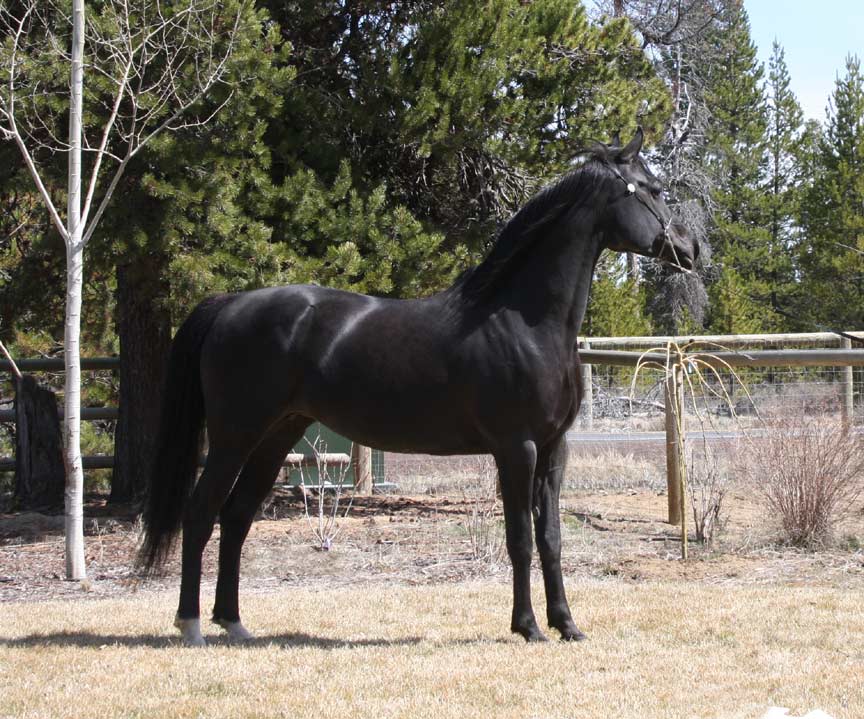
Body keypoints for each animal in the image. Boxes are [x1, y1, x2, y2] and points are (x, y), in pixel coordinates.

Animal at [140, 128, 696, 648]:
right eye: (653, 189)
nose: (690, 249)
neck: (524, 320)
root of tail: (229, 304)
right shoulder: (517, 448)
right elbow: (519, 538)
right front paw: (528, 627)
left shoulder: (554, 449)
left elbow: (552, 538)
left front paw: (567, 624)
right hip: (235, 435)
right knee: (200, 513)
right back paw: (191, 624)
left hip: (276, 436)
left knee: (236, 518)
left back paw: (233, 623)